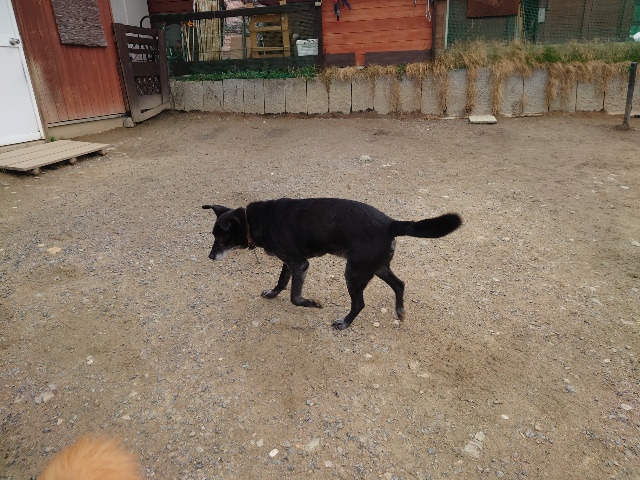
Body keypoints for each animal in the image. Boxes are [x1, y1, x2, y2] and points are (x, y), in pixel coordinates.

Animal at [203, 198, 461, 329]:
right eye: (213, 236)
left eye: (220, 239)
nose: (210, 257)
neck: (254, 221)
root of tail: (390, 223)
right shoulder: (289, 263)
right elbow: (281, 282)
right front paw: (272, 293)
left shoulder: (300, 264)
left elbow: (295, 297)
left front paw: (313, 303)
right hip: (374, 267)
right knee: (399, 284)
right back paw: (399, 311)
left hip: (354, 273)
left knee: (360, 303)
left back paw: (344, 322)